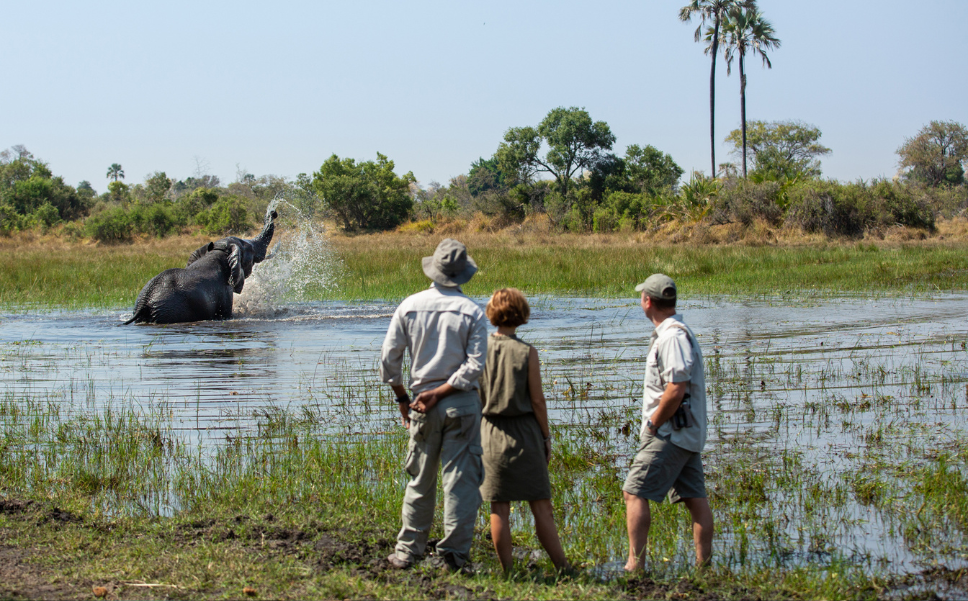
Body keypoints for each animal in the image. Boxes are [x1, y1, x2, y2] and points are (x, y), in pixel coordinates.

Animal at [123, 210, 278, 324]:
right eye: (250, 249)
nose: (273, 212)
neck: (217, 253)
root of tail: (145, 302)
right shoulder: (224, 291)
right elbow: (226, 314)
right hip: (169, 311)